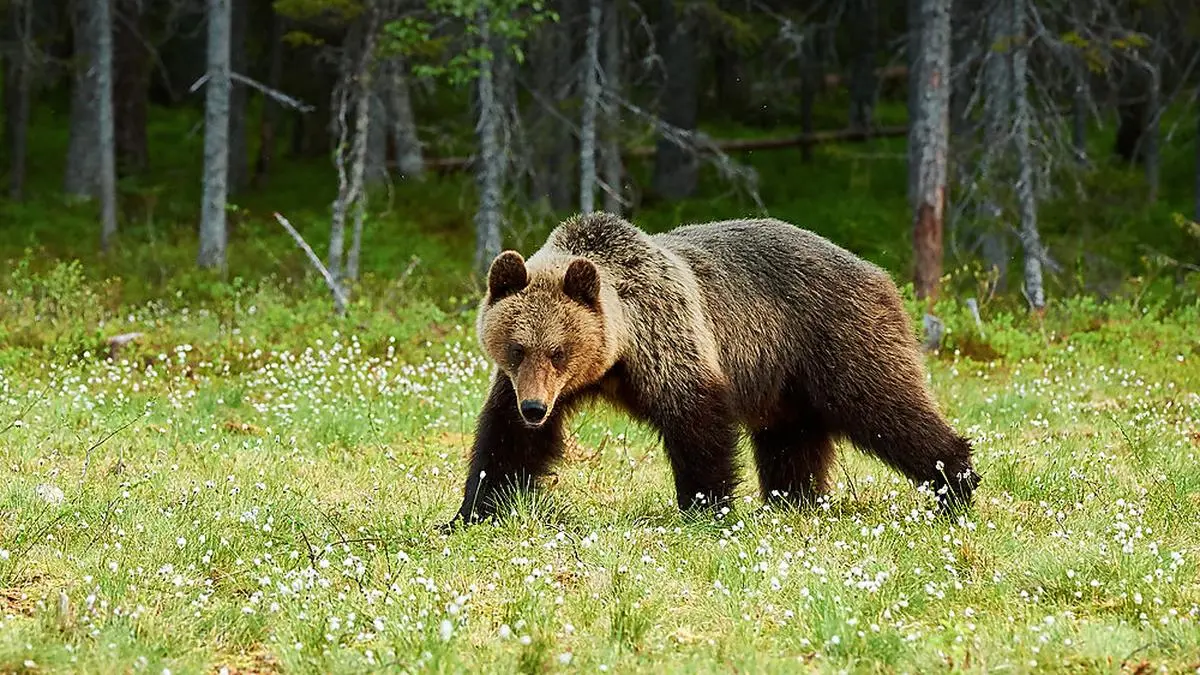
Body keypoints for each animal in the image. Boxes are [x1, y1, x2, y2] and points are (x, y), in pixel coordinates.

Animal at [449, 212, 980, 526]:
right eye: (517, 349)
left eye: (559, 350)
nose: (535, 408)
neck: (616, 355)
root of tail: (879, 273)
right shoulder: (532, 386)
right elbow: (505, 442)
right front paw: (469, 514)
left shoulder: (670, 336)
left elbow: (697, 422)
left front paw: (705, 508)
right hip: (784, 385)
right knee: (792, 440)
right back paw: (793, 500)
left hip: (837, 338)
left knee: (884, 404)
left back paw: (956, 482)